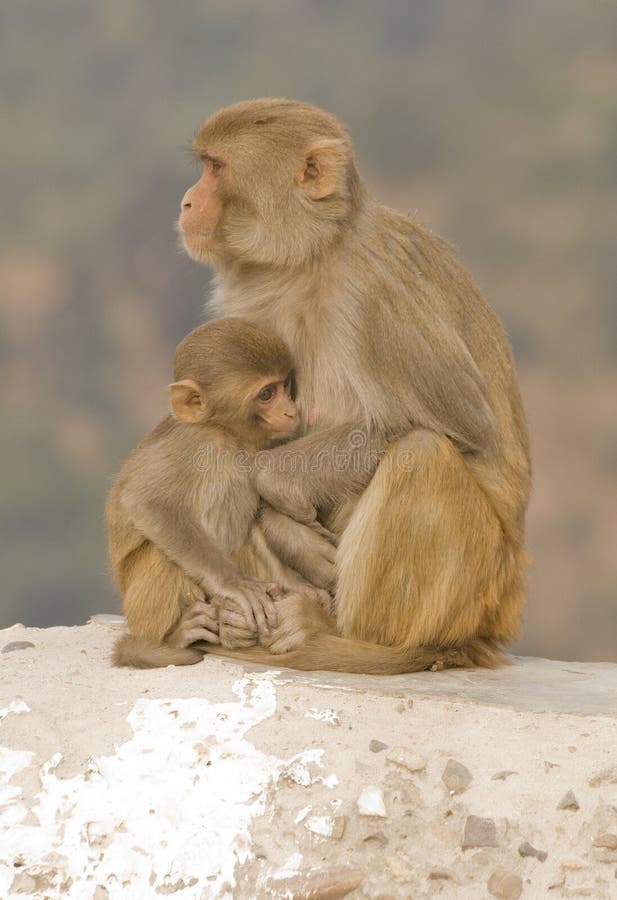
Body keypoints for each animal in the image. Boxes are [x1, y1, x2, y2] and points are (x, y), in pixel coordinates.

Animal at [108, 316, 334, 668]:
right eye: (266, 393)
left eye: (284, 385)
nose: (291, 410)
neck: (228, 436)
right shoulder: (194, 445)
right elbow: (147, 503)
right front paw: (235, 584)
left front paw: (300, 587)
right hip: (138, 606)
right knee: (163, 554)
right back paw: (168, 639)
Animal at [177, 98, 528, 676]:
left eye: (216, 167)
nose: (186, 201)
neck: (311, 259)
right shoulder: (250, 309)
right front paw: (285, 529)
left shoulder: (373, 297)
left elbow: (467, 428)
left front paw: (274, 481)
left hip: (479, 594)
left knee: (421, 454)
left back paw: (347, 636)